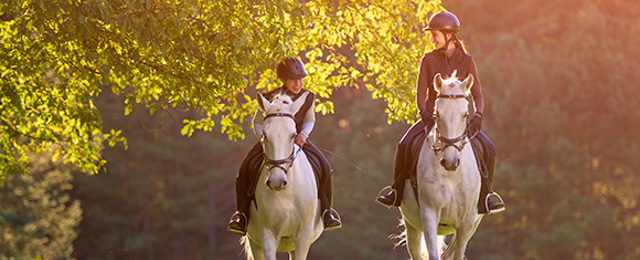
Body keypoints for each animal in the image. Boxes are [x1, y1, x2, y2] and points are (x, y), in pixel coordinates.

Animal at [245, 92, 324, 260]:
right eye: (264, 135)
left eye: (293, 135)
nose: (276, 181)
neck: (287, 194)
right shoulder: (267, 236)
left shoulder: (303, 237)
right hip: (255, 243)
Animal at [398, 72, 482, 260]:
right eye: (437, 114)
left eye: (466, 114)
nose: (450, 162)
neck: (451, 175)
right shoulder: (429, 215)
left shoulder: (467, 223)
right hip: (412, 225)